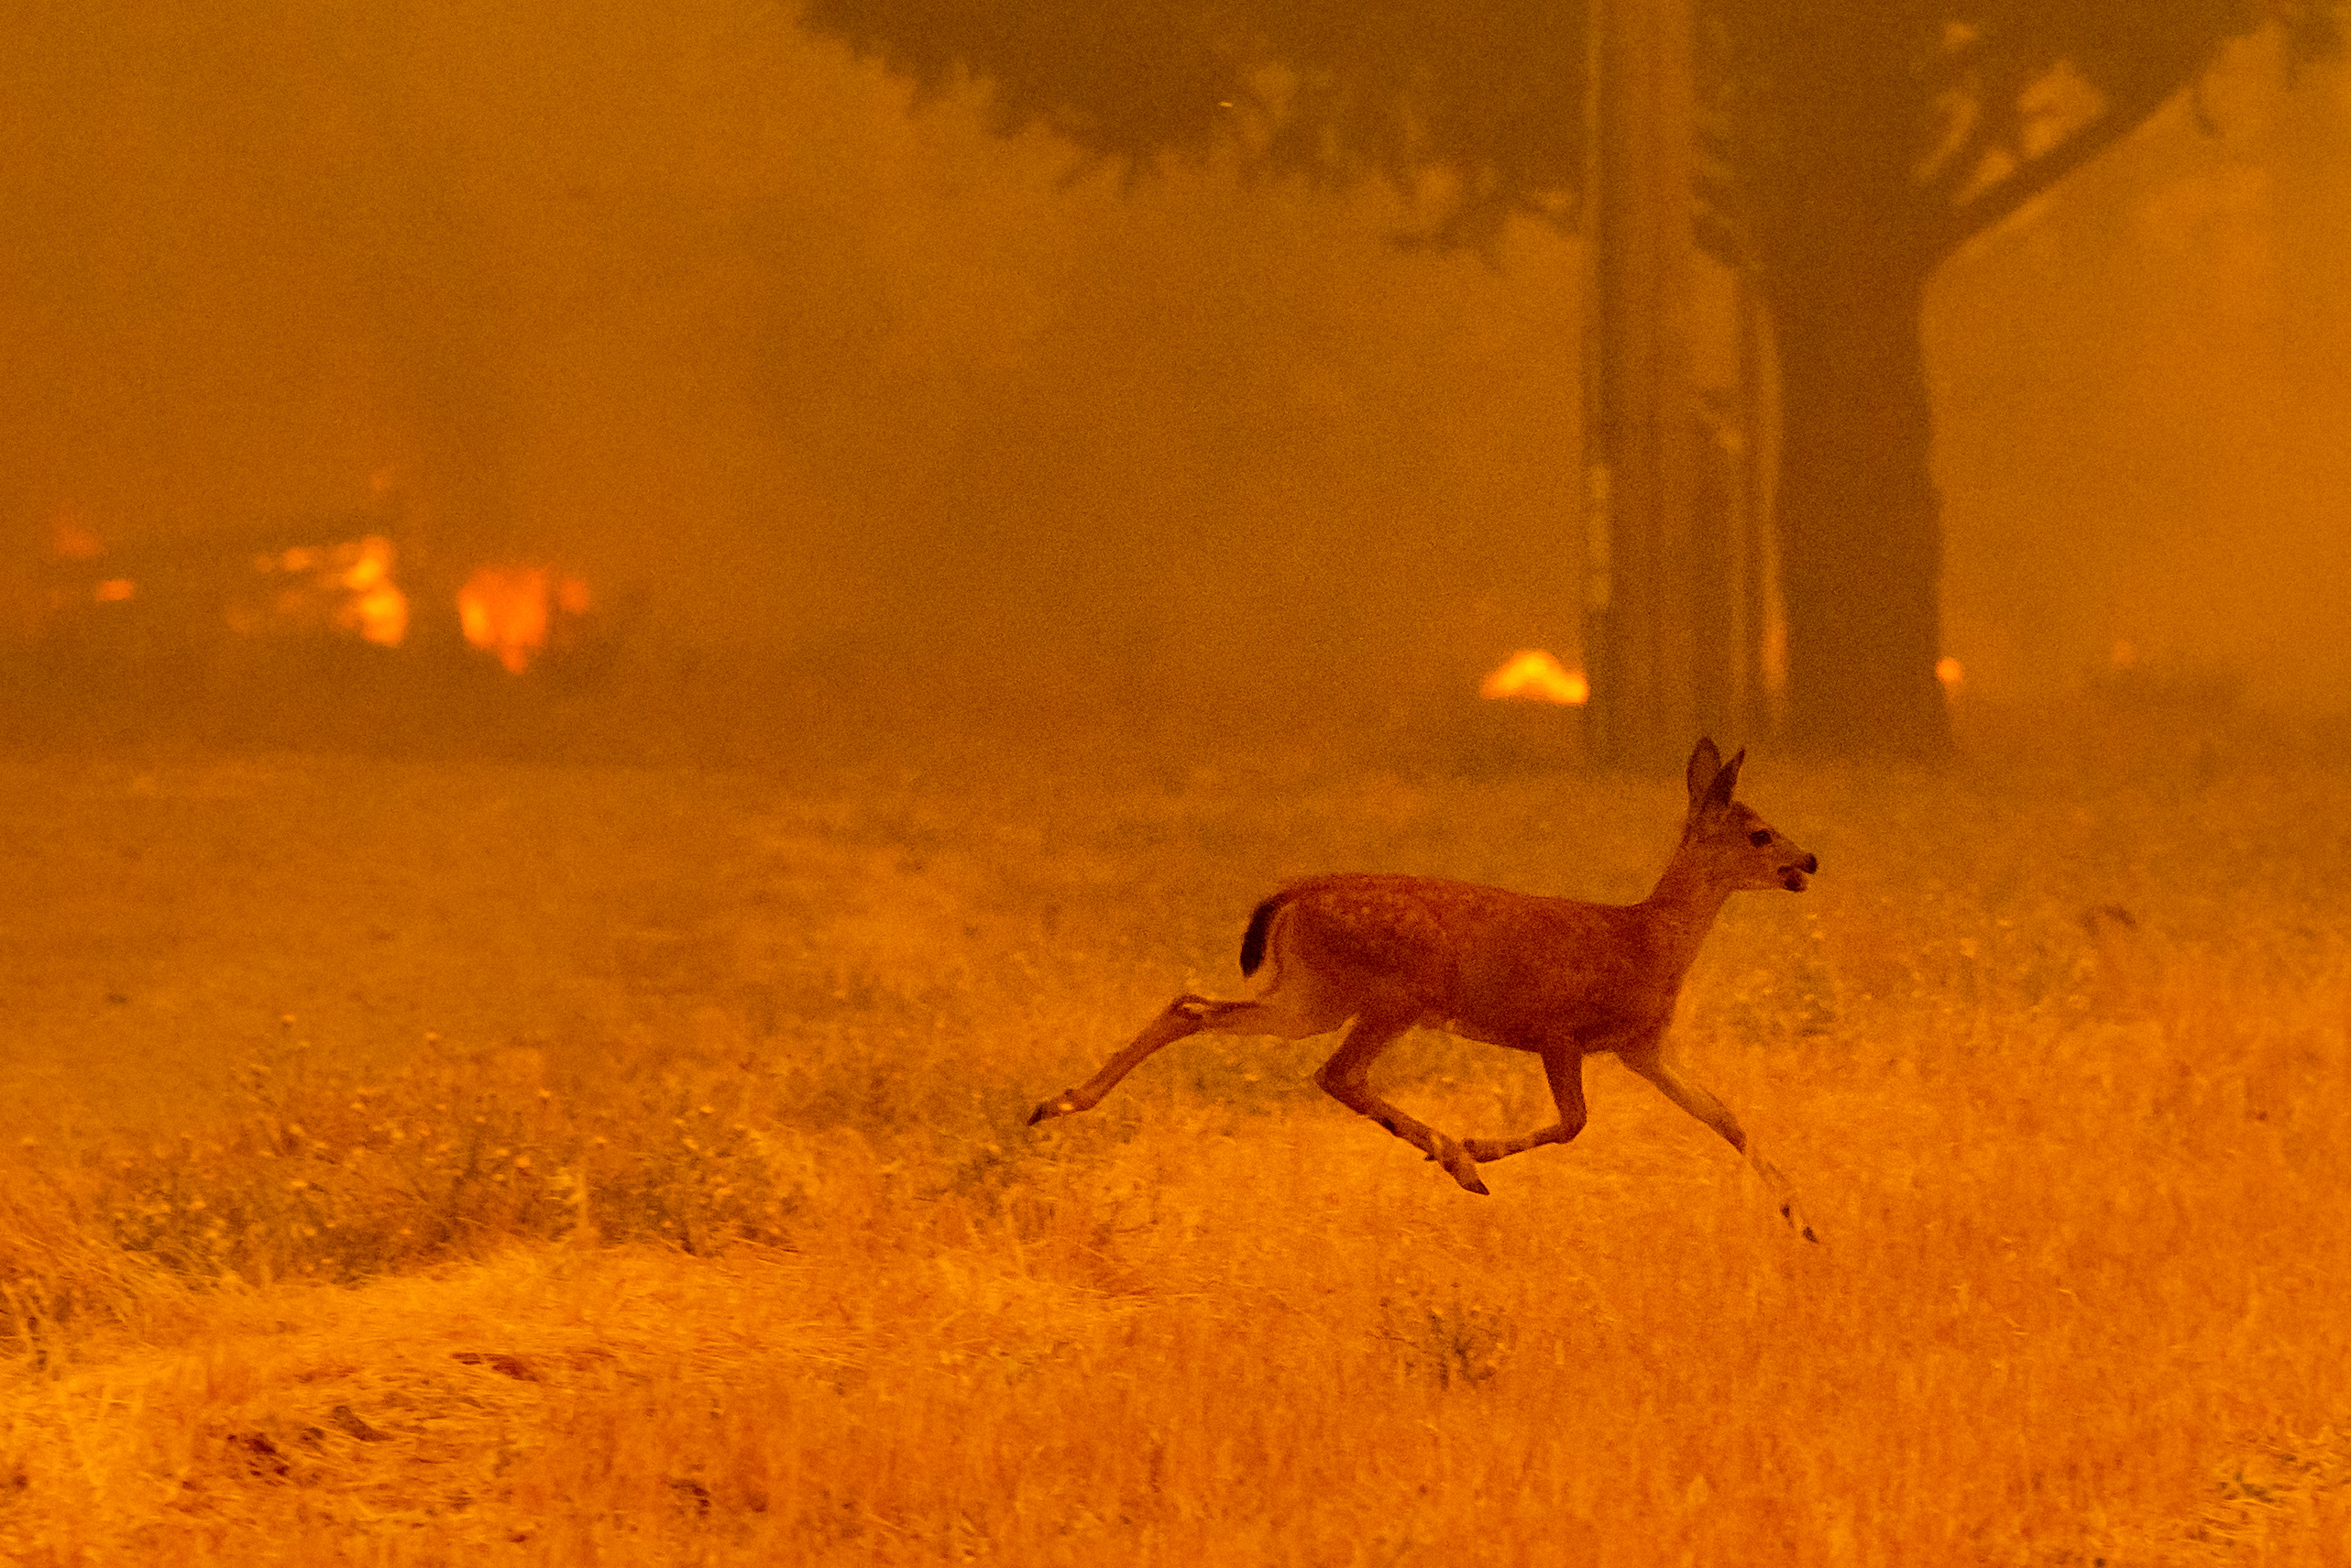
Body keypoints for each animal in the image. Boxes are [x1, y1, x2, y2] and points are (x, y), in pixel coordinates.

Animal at [1029, 742, 1815, 1241]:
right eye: (1758, 832)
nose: (1807, 859)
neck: (1648, 940)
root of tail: (1292, 894)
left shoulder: (1641, 1046)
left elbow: (1725, 1117)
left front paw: (1802, 1218)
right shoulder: (1559, 1028)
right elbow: (1574, 1121)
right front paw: (1474, 1145)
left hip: (1307, 993)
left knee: (1195, 1004)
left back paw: (1057, 1102)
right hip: (1386, 993)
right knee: (1336, 1072)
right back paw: (1455, 1160)